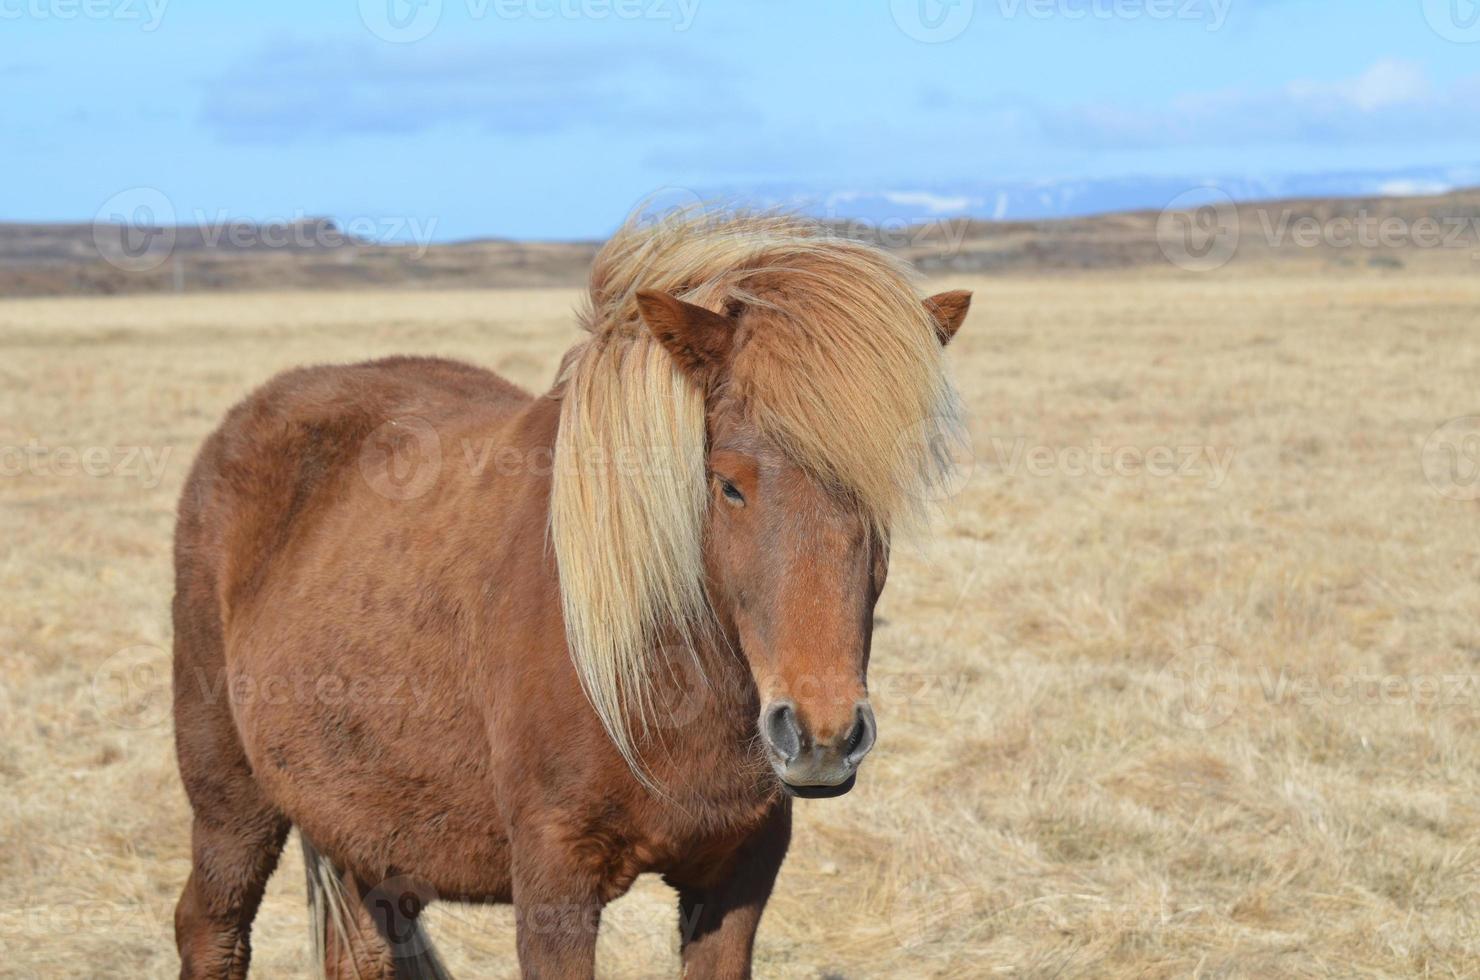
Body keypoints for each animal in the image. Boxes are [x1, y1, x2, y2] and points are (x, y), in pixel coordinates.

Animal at [170, 211, 970, 977]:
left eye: (883, 493)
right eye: (728, 484)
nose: (822, 738)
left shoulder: (738, 878)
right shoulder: (555, 881)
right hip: (232, 801)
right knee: (212, 929)